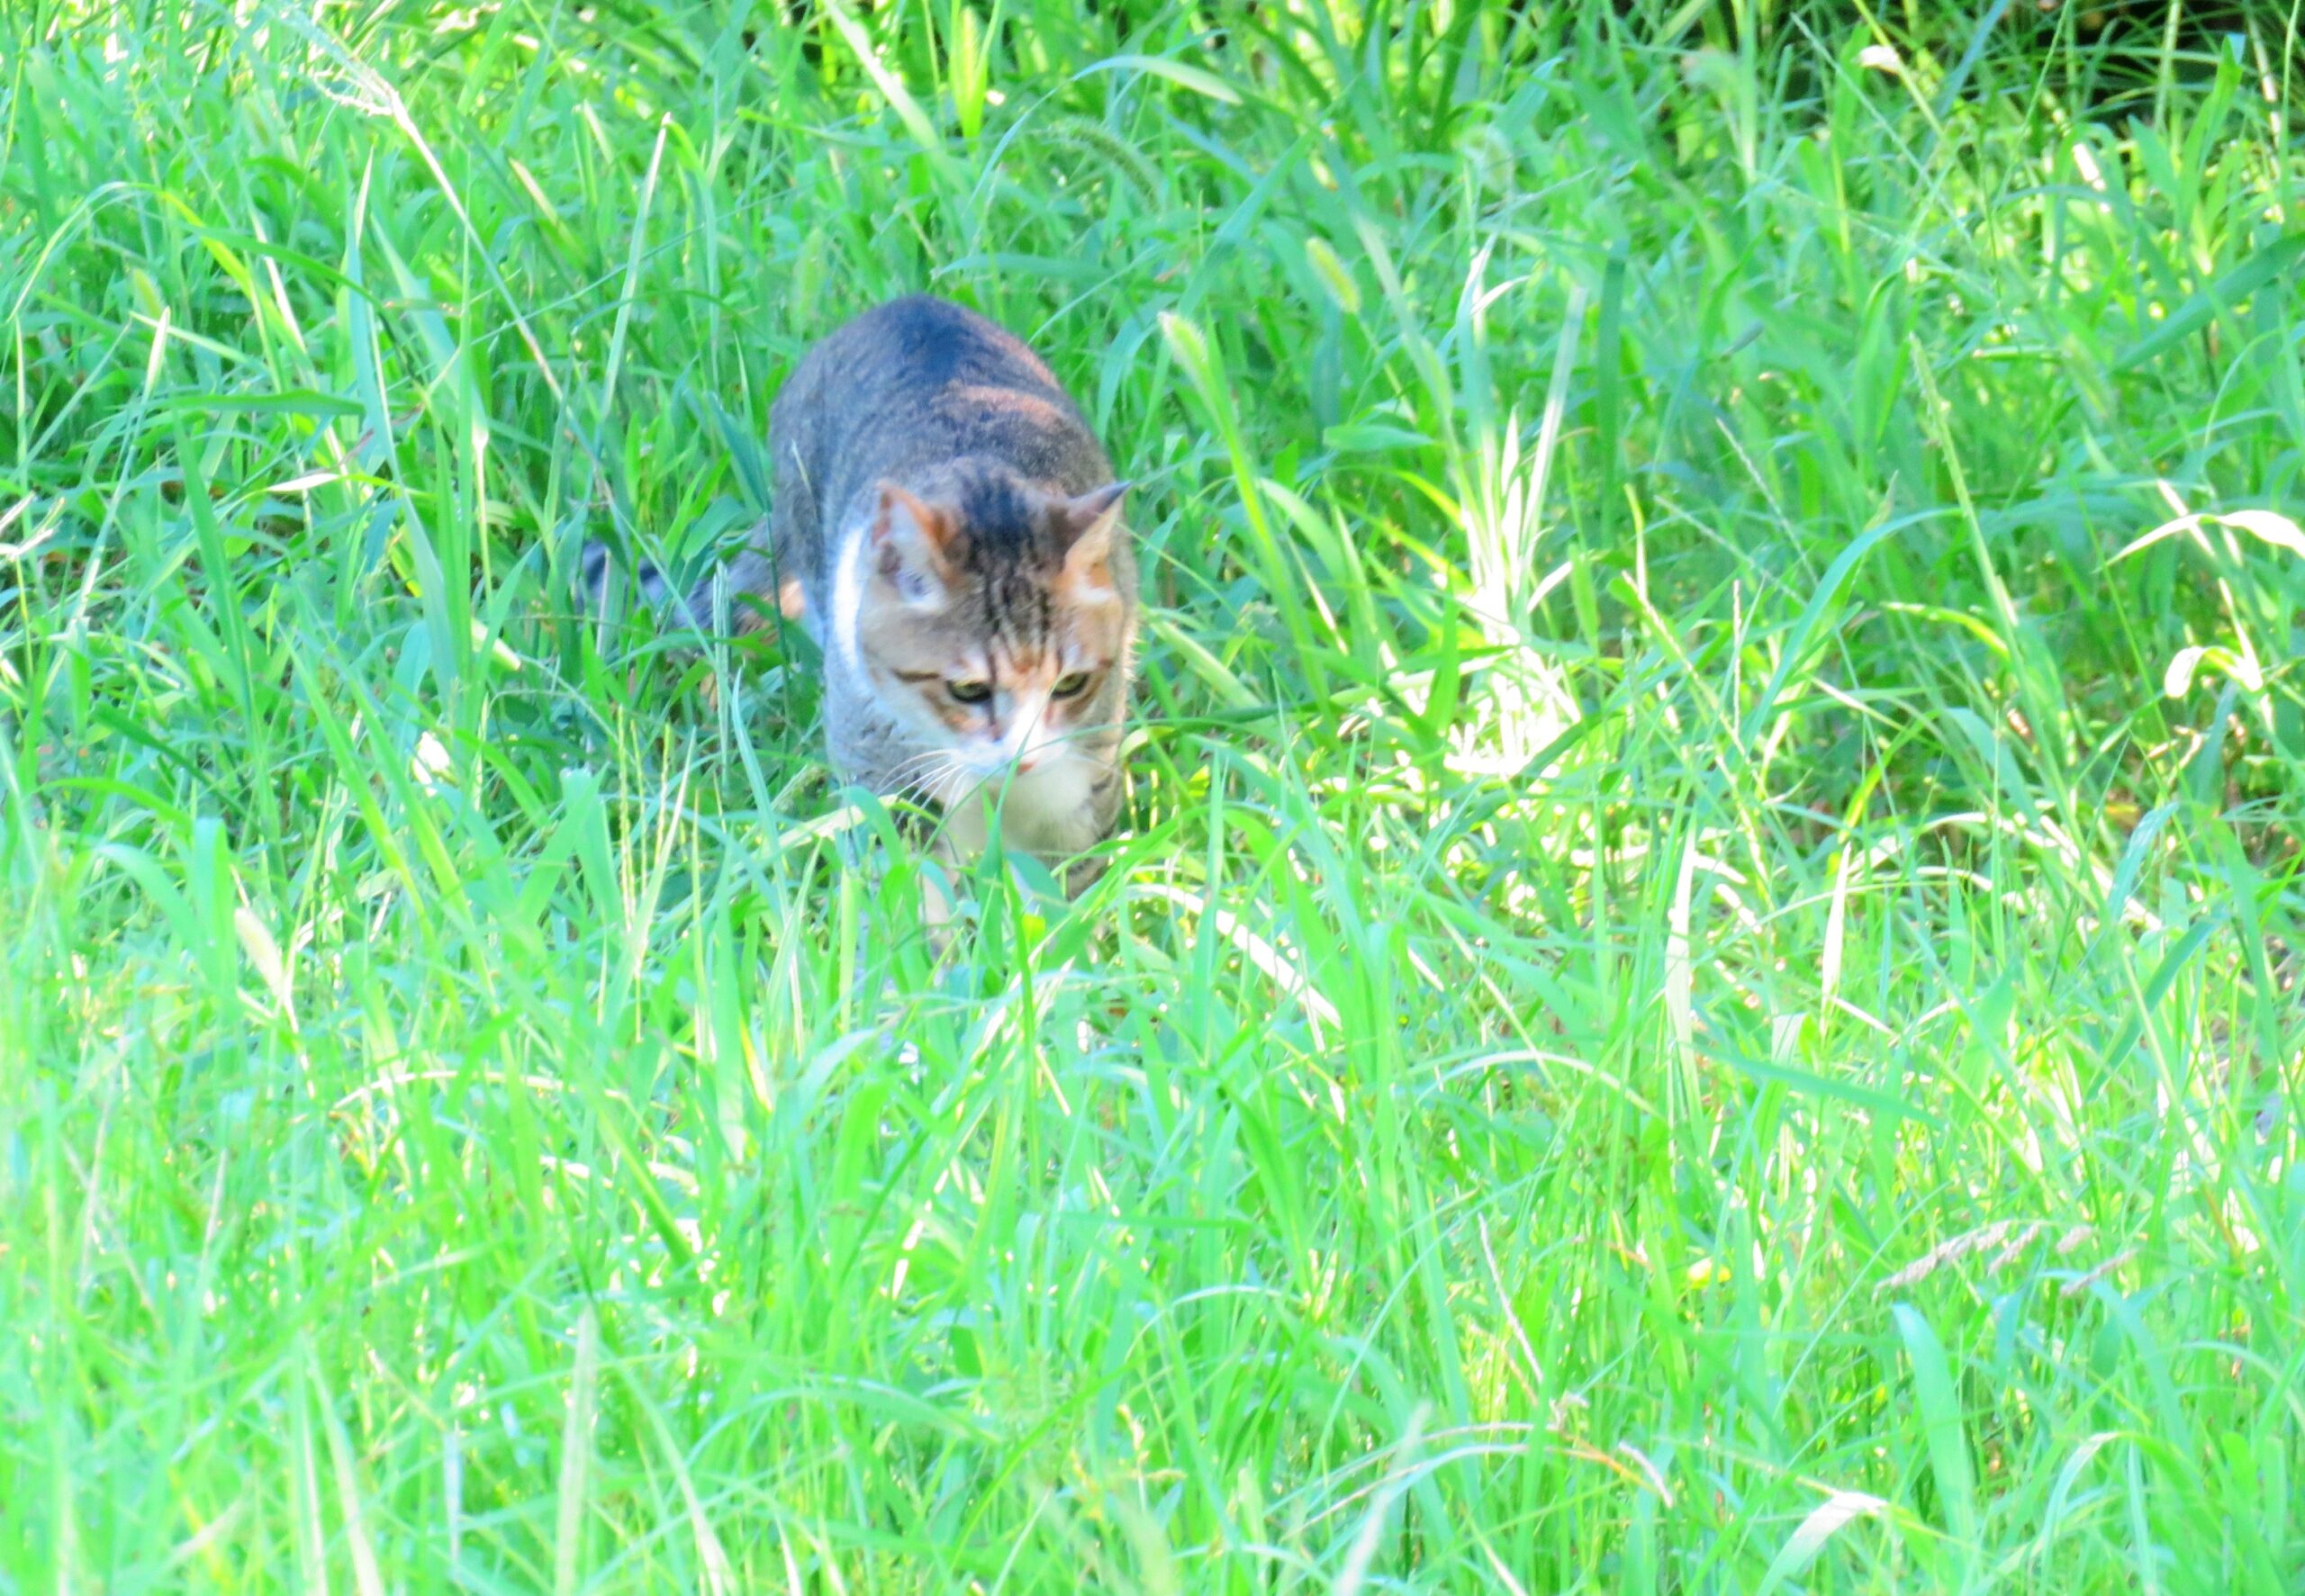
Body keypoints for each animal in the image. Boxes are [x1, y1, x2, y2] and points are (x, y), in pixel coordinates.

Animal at [585, 299, 1134, 897]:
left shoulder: (1078, 789)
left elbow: (1067, 886)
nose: (1022, 761)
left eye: (1072, 683)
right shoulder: (889, 781)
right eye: (968, 690)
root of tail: (910, 303)